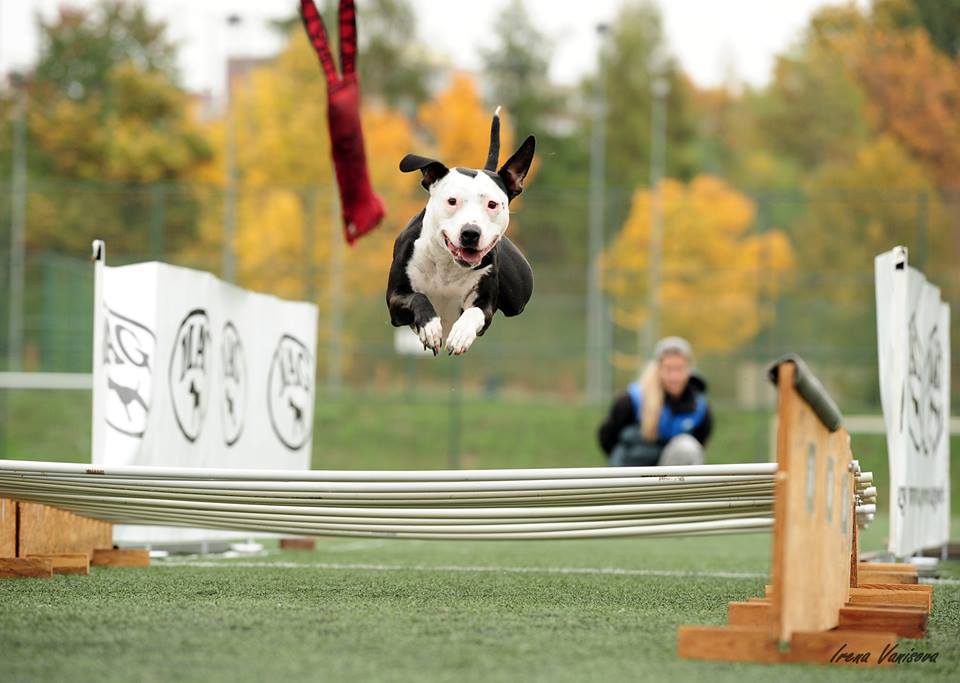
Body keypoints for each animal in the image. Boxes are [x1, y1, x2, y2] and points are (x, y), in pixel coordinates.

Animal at [384, 109, 532, 356]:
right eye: (452, 201)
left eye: (492, 204)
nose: (470, 233)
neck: (448, 265)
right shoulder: (396, 300)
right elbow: (418, 297)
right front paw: (431, 327)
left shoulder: (485, 305)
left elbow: (475, 313)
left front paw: (461, 334)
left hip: (519, 292)